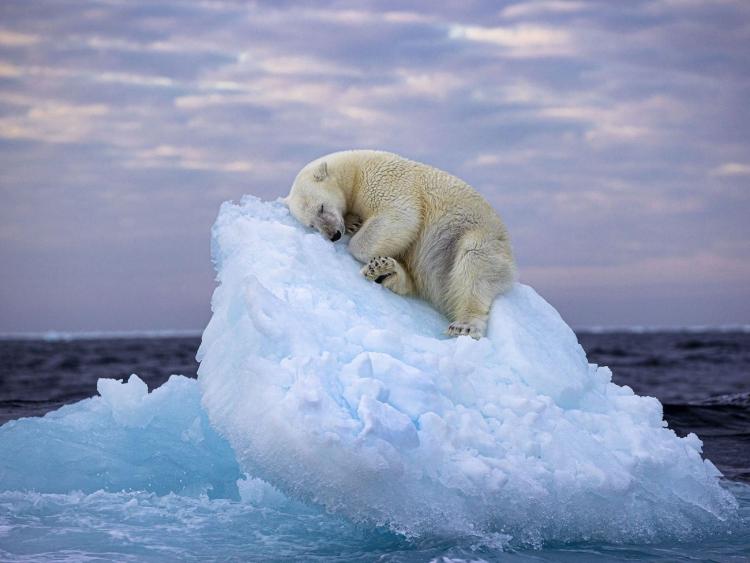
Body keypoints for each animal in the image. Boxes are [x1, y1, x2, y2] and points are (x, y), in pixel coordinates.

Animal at [284, 148, 516, 340]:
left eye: (321, 207)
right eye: (312, 225)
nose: (333, 235)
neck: (354, 169)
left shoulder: (384, 181)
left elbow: (400, 215)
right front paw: (353, 223)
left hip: (476, 235)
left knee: (474, 266)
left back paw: (464, 325)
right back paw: (384, 270)